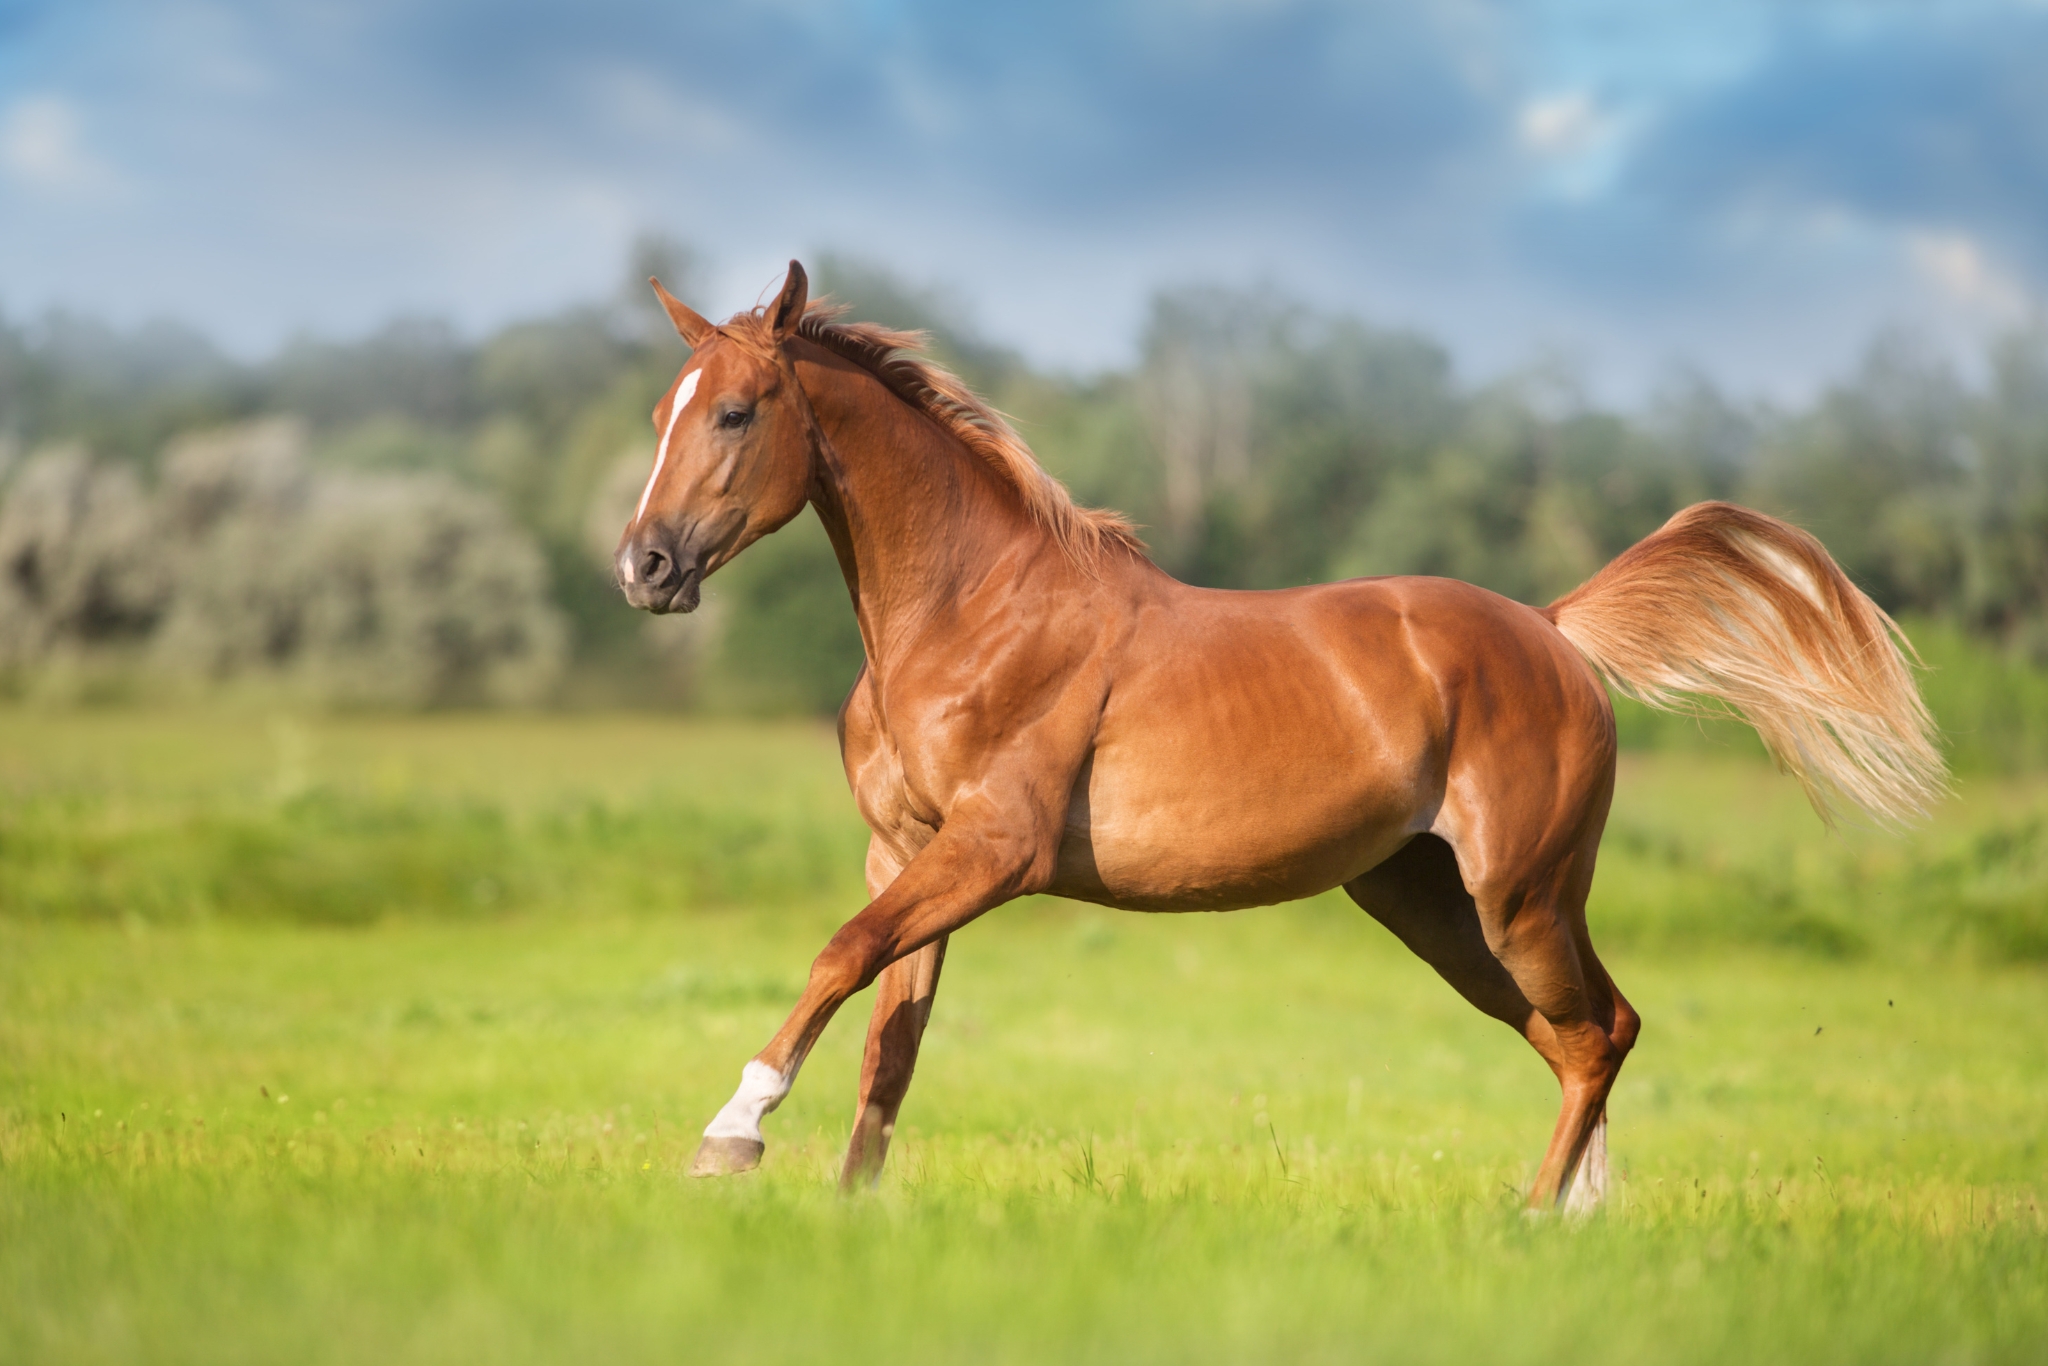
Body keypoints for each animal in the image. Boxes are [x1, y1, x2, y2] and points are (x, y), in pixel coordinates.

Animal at [614, 261, 1944, 1209]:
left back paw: (1533, 1216)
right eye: (660, 410)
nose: (644, 566)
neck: (966, 615)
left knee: (1598, 1030)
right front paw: (849, 1208)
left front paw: (729, 1137)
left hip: (1520, 896)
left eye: (734, 411)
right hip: (1430, 905)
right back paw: (1570, 1216)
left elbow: (838, 958)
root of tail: (1554, 632)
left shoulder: (993, 851)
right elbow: (891, 1037)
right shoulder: (904, 851)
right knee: (1577, 1037)